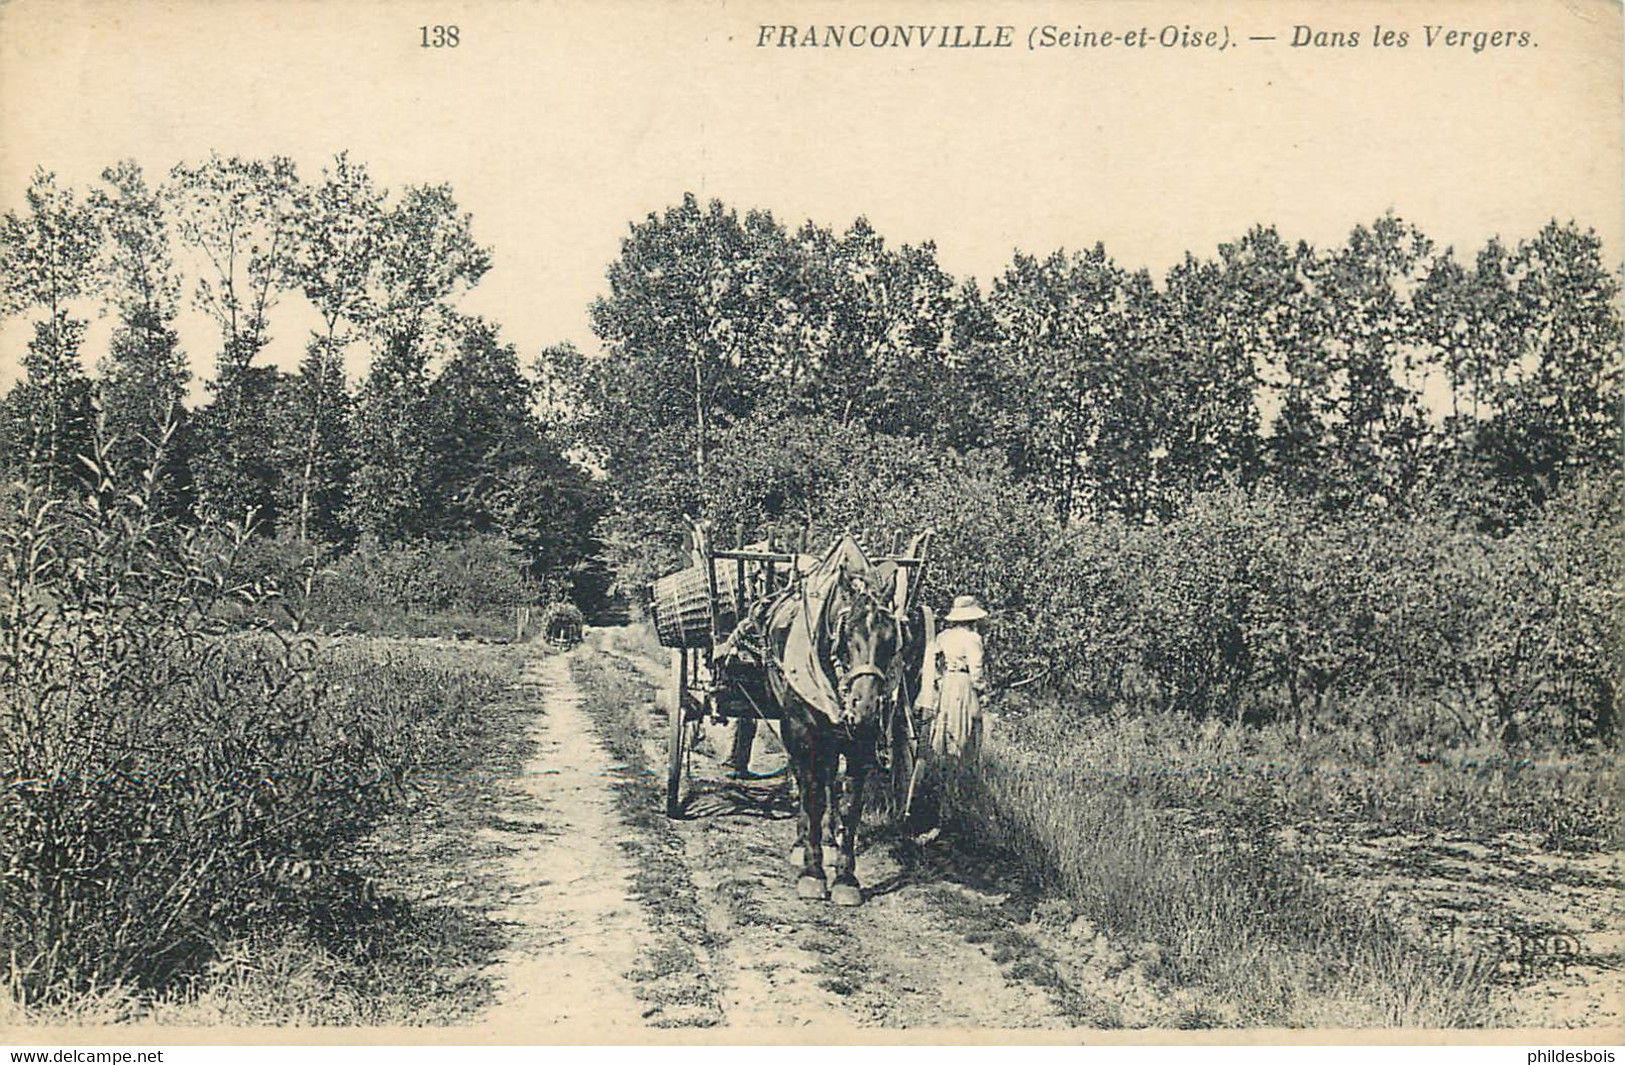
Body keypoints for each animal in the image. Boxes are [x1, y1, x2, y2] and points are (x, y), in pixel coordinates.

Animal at [767, 565, 923, 910]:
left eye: (891, 641)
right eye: (846, 637)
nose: (865, 706)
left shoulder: (859, 746)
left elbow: (851, 805)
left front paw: (845, 878)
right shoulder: (803, 734)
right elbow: (811, 796)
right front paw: (812, 873)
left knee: (828, 781)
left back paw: (827, 838)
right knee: (806, 780)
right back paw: (804, 841)